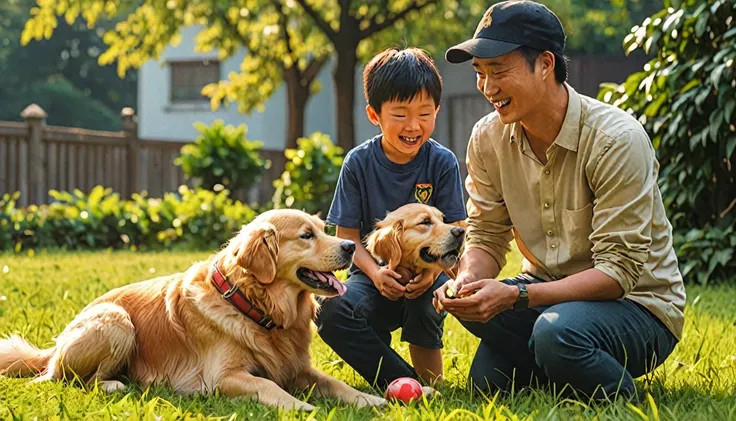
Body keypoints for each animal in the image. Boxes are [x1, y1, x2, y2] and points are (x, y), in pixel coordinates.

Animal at [0, 208, 388, 408]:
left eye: (323, 229)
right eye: (306, 236)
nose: (351, 246)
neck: (255, 308)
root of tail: (54, 348)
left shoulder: (298, 369)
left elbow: (336, 385)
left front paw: (371, 399)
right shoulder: (224, 378)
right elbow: (269, 387)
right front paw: (304, 408)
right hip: (117, 321)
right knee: (70, 379)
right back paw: (114, 384)